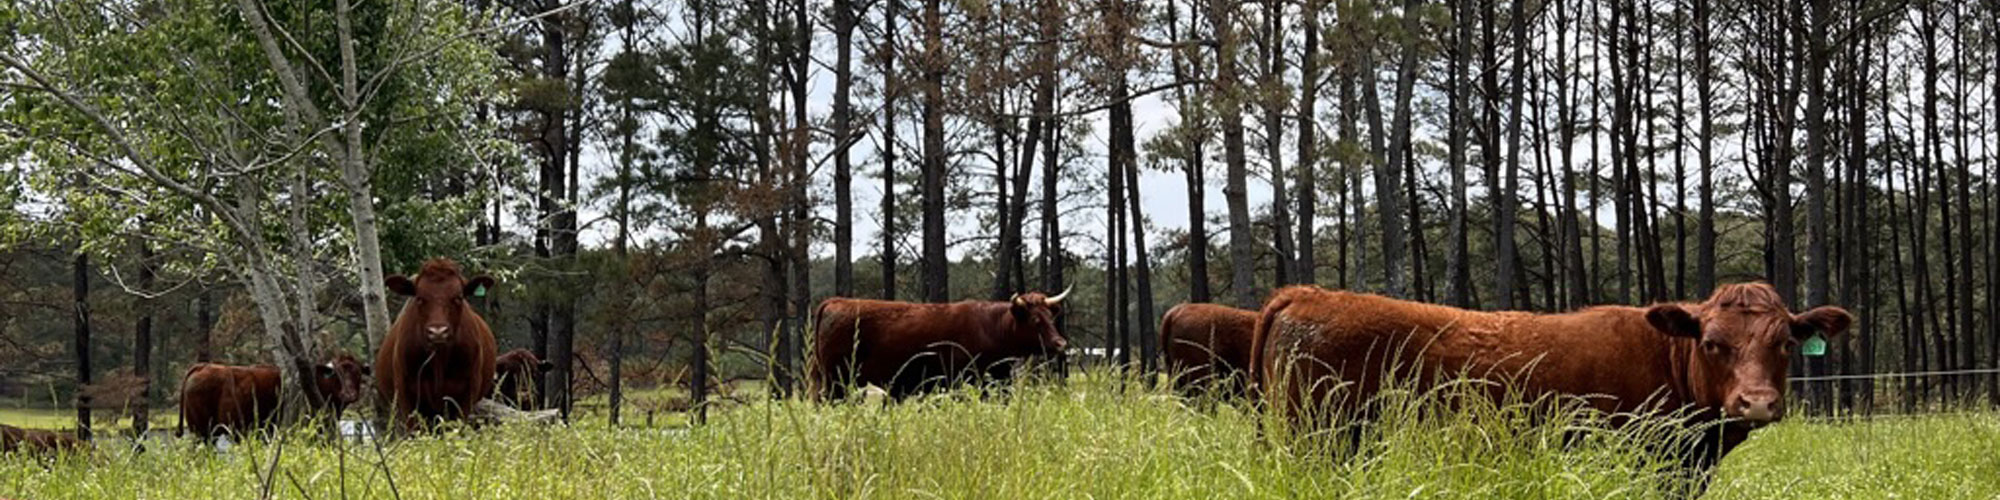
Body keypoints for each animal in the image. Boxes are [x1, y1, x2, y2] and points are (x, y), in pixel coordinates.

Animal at [376, 258, 500, 430]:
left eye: (458, 297)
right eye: (420, 298)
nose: (438, 332)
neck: (439, 361)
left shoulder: (466, 394)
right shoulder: (406, 394)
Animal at [808, 288, 1072, 400]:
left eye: (1050, 317)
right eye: (1036, 320)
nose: (1061, 343)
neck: (991, 327)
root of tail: (835, 302)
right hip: (836, 382)